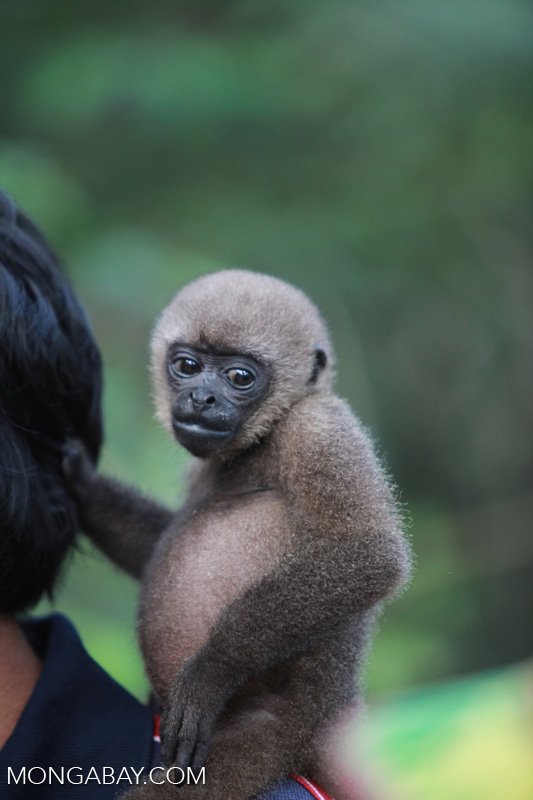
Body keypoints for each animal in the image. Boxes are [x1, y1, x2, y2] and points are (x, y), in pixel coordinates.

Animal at [63, 270, 411, 800]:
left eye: (240, 377)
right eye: (187, 366)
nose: (202, 398)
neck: (258, 445)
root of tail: (325, 716)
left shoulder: (318, 427)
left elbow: (370, 553)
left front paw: (211, 671)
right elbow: (155, 544)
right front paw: (82, 484)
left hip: (265, 733)